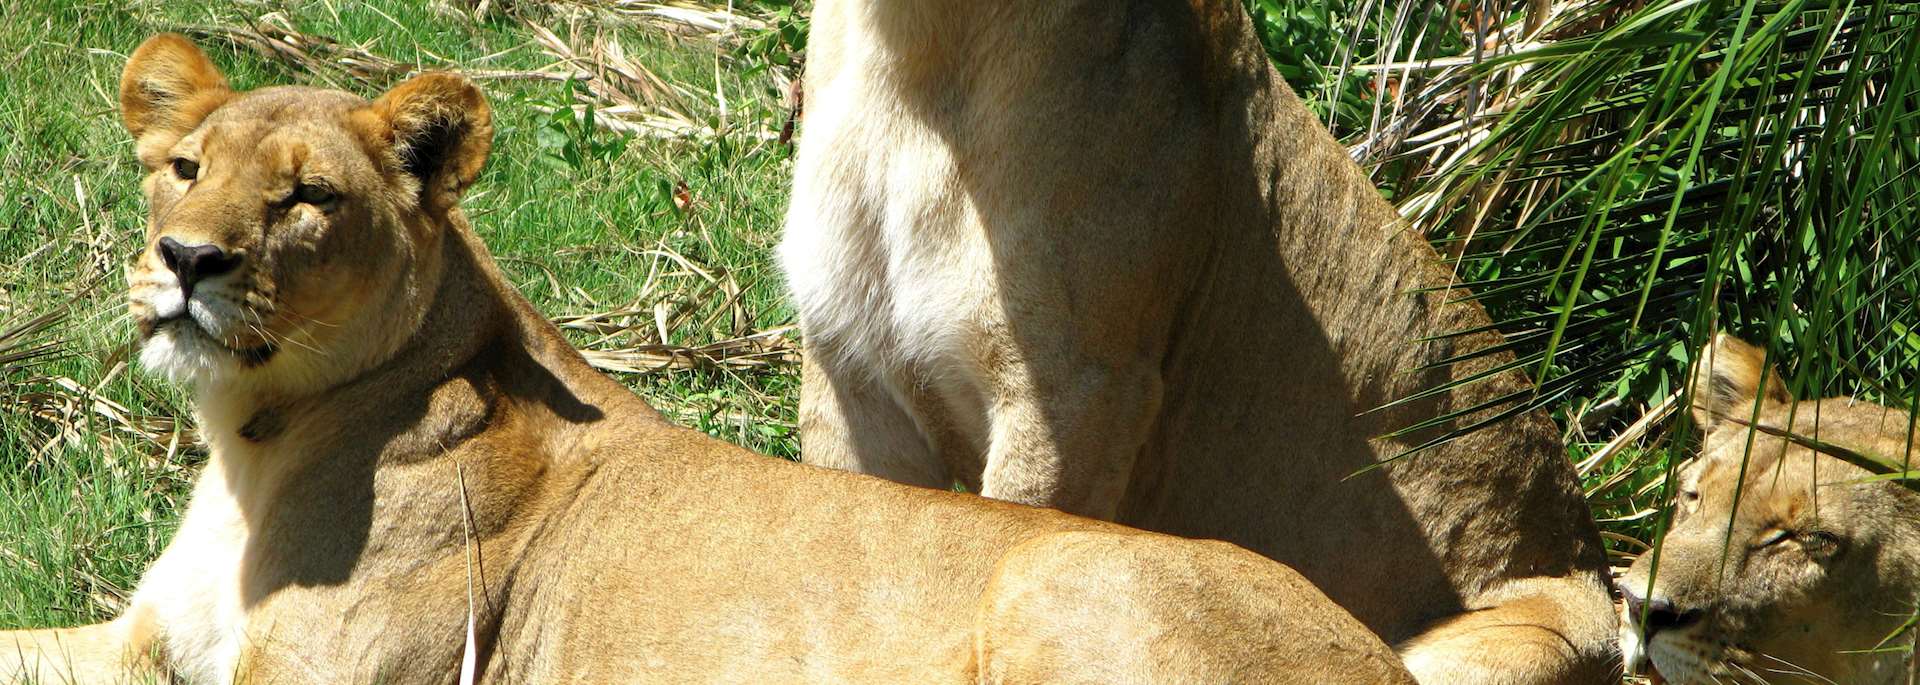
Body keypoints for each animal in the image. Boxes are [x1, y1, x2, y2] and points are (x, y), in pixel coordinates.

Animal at [0, 34, 1420, 684]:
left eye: (306, 200)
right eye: (186, 168)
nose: (187, 260)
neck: (252, 438)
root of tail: (1375, 653)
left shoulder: (329, 679)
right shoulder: (139, 644)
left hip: (1064, 584)